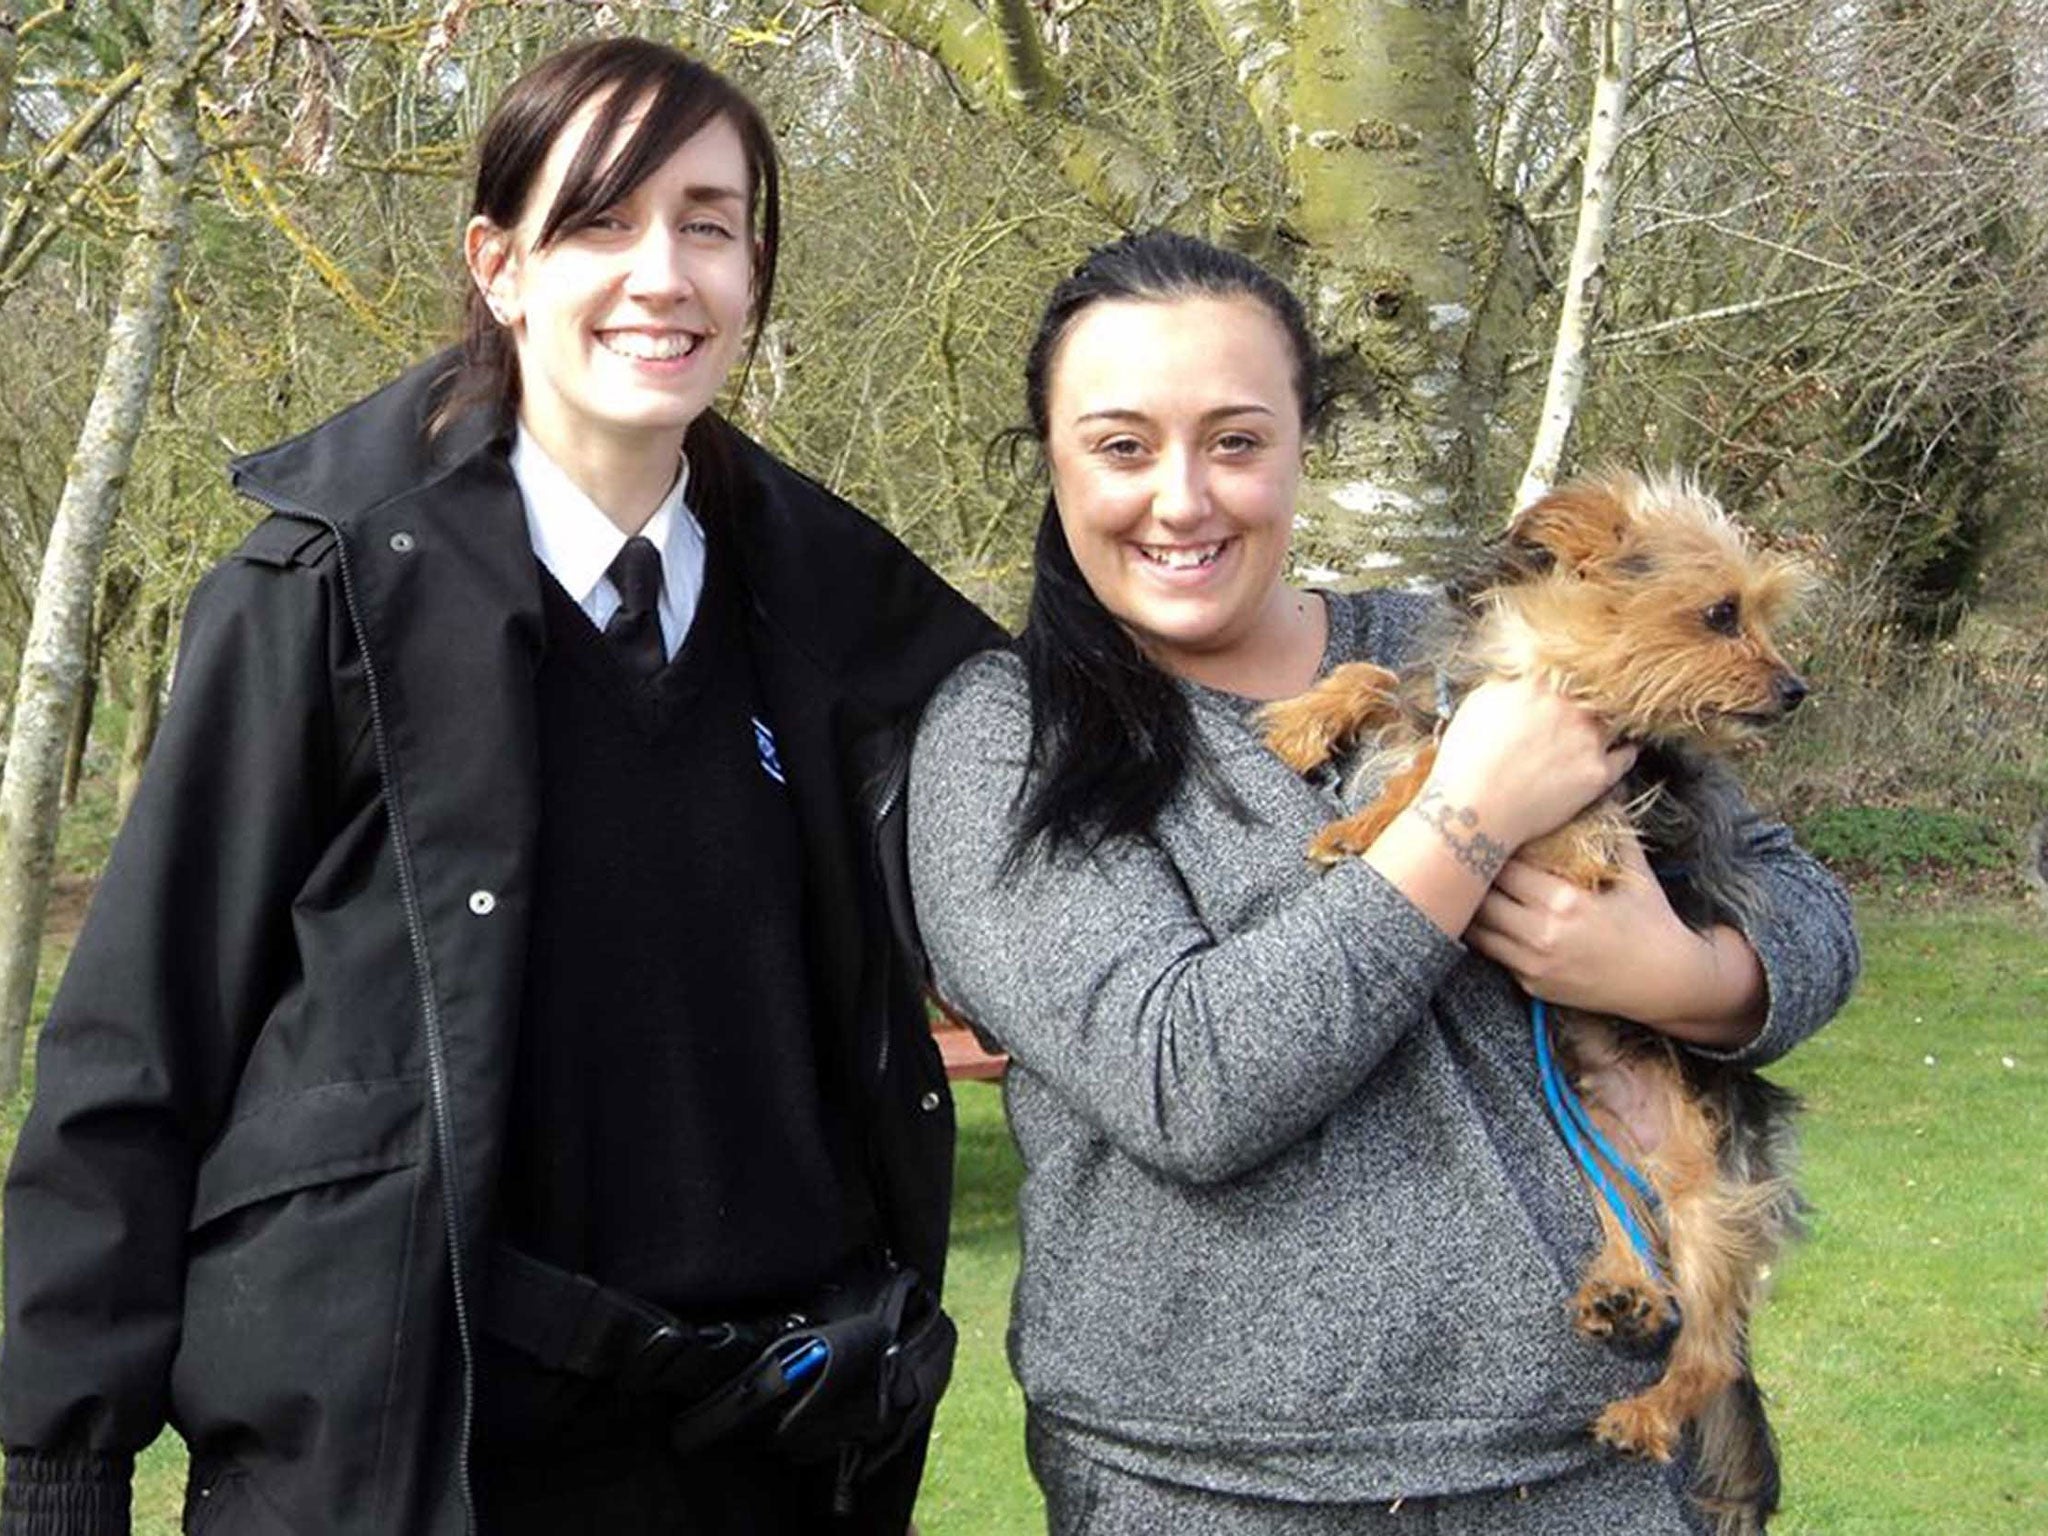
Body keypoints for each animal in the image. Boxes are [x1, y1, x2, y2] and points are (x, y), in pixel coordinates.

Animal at [1261, 473, 1810, 1536]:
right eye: (1723, 613)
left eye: (1752, 613)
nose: (1798, 689)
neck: (1546, 662)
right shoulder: (1455, 692)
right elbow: (1388, 685)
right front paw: (1305, 715)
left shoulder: (1588, 824)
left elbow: (1434, 765)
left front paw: (1362, 825)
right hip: (1591, 1140)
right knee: (1630, 1225)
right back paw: (1620, 1291)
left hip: (1714, 1192)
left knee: (1709, 1345)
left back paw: (1647, 1410)